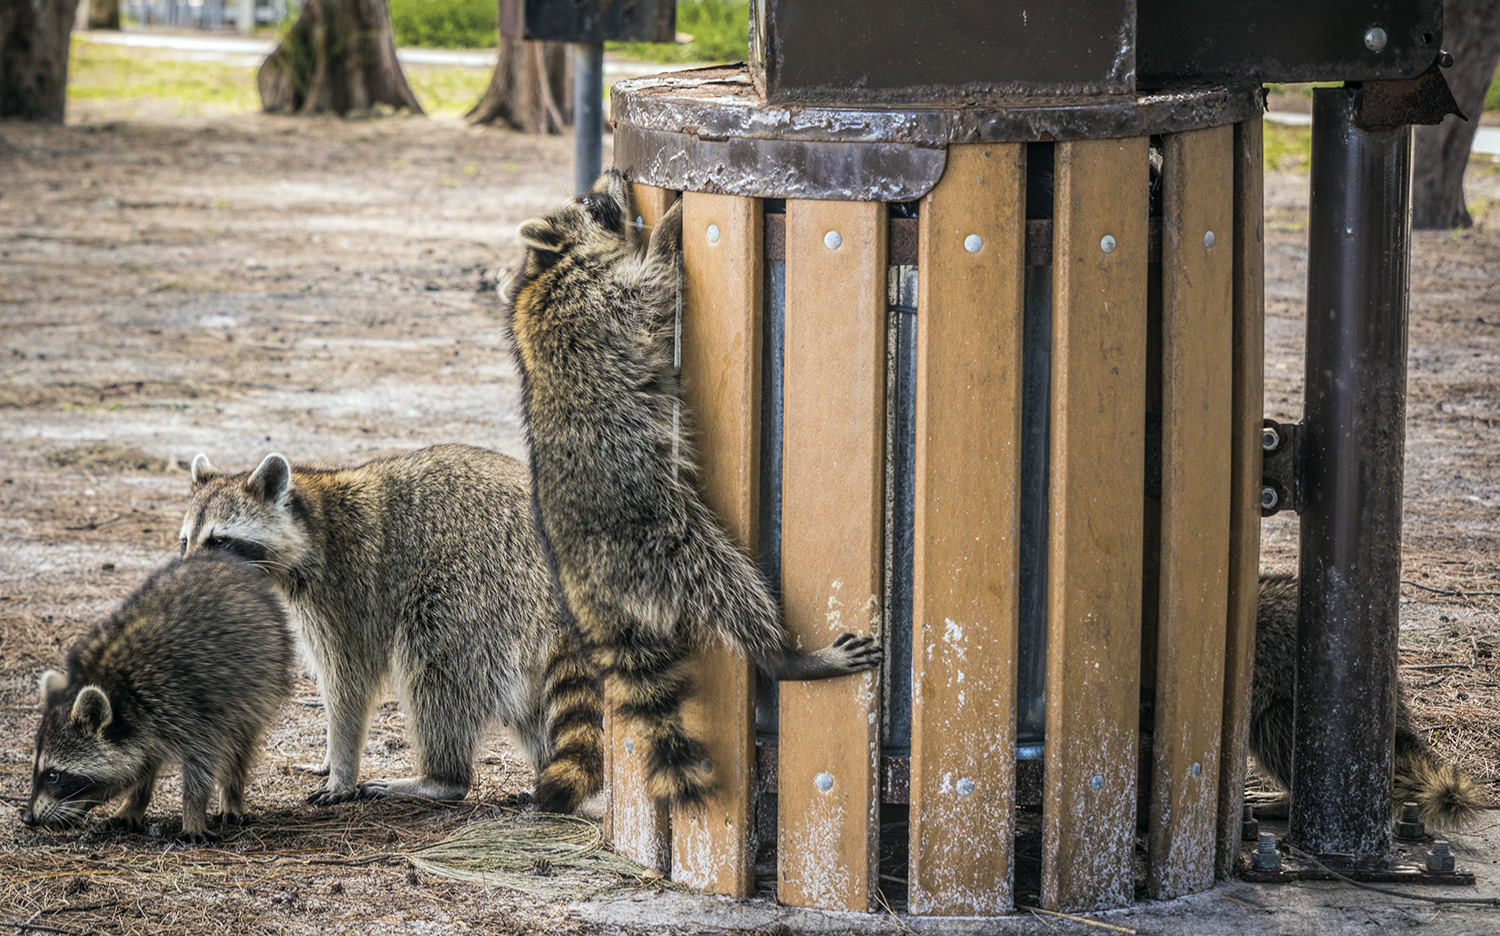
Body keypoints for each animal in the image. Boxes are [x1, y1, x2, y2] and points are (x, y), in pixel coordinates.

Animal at [23, 553, 293, 842]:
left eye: (53, 775)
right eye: (38, 770)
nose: (28, 818)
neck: (119, 693)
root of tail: (218, 561)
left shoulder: (183, 707)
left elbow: (201, 764)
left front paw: (193, 813)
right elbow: (143, 764)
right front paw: (134, 800)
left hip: (259, 680)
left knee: (239, 744)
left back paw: (232, 793)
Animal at [179, 444, 602, 813]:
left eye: (219, 540)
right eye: (185, 541)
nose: (187, 576)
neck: (312, 516)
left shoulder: (345, 588)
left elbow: (348, 683)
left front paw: (341, 769)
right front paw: (329, 759)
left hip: (477, 588)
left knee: (433, 667)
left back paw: (442, 777)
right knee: (532, 711)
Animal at [504, 171, 882, 809]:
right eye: (590, 200)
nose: (613, 175)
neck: (546, 268)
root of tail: (582, 579)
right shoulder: (595, 303)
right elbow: (650, 288)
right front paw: (668, 228)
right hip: (660, 541)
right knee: (725, 582)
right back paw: (783, 657)